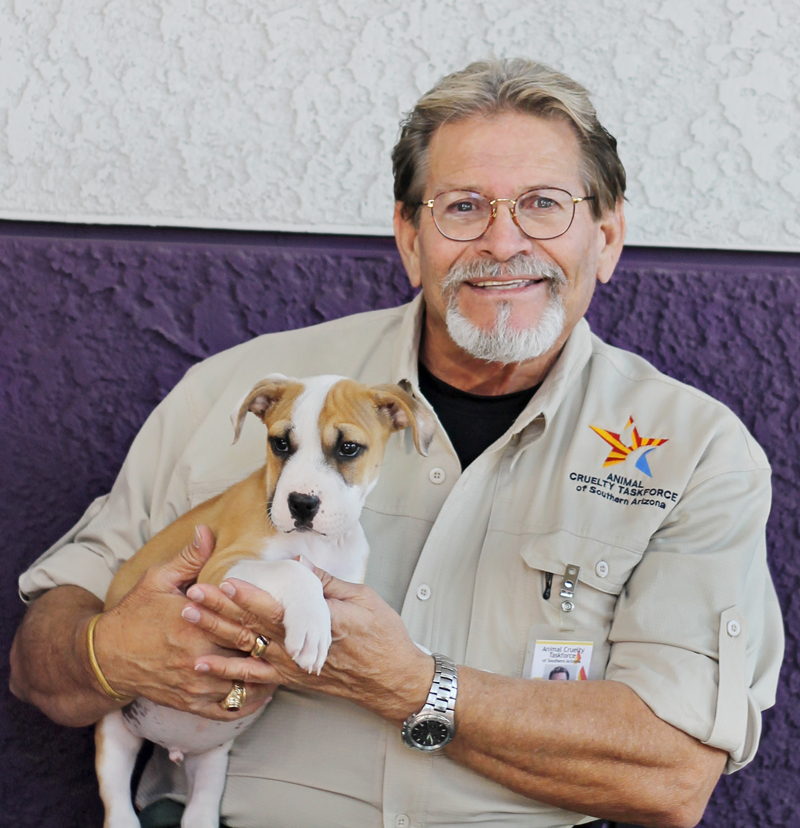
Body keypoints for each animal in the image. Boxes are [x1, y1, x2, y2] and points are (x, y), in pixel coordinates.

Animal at [94, 376, 438, 828]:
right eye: (281, 444)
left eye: (348, 448)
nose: (302, 504)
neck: (319, 542)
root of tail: (173, 745)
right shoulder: (220, 570)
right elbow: (294, 571)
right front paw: (311, 625)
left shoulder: (345, 585)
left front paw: (415, 650)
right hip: (114, 734)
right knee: (116, 796)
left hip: (212, 763)